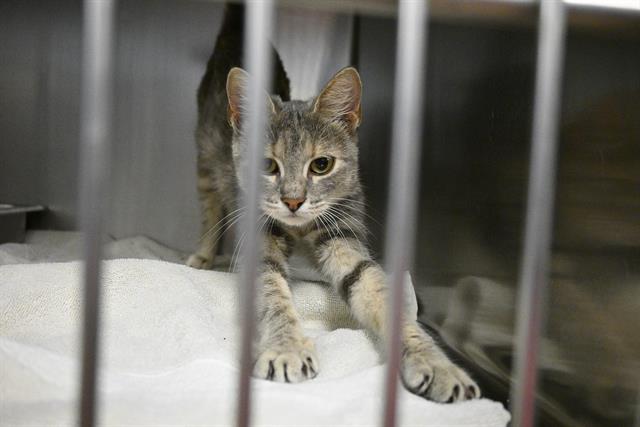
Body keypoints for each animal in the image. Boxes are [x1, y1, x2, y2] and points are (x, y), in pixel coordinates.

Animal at [190, 4, 480, 404]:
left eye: (321, 165)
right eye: (267, 166)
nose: (293, 200)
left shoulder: (344, 236)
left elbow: (379, 293)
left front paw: (436, 364)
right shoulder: (259, 240)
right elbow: (272, 293)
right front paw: (287, 348)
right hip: (205, 158)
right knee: (209, 210)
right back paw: (202, 255)